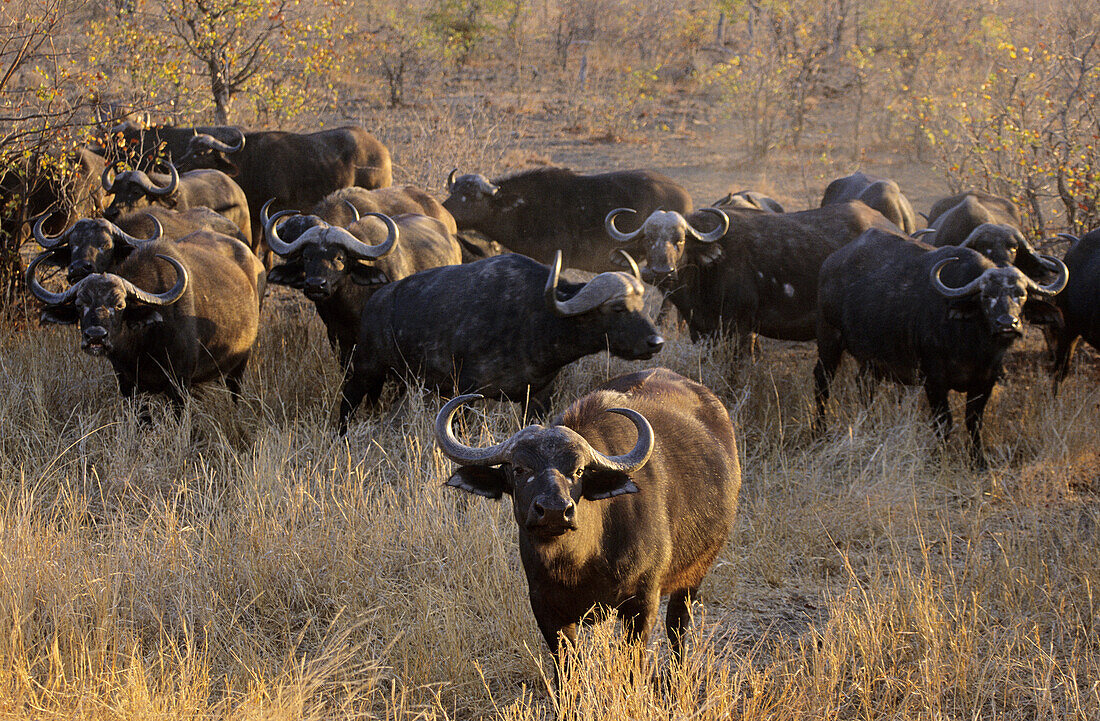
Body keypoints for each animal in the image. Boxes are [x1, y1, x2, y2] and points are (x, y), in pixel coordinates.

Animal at [334, 252, 660, 429]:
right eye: (618, 308)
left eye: (642, 305)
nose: (656, 342)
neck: (535, 320)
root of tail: (376, 299)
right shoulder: (466, 393)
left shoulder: (539, 397)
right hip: (367, 366)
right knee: (349, 397)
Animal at [435, 367, 739, 664]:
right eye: (519, 469)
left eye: (579, 471)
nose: (555, 511)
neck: (578, 560)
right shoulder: (546, 608)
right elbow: (567, 667)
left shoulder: (642, 602)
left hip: (695, 573)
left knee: (677, 624)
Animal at [818, 228, 1064, 471]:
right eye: (986, 296)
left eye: (1021, 294)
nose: (1007, 323)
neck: (973, 344)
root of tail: (830, 263)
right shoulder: (934, 381)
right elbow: (944, 423)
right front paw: (940, 460)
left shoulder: (986, 380)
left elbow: (974, 421)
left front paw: (979, 461)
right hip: (829, 338)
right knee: (822, 385)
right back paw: (821, 433)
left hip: (871, 361)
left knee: (864, 386)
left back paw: (872, 427)